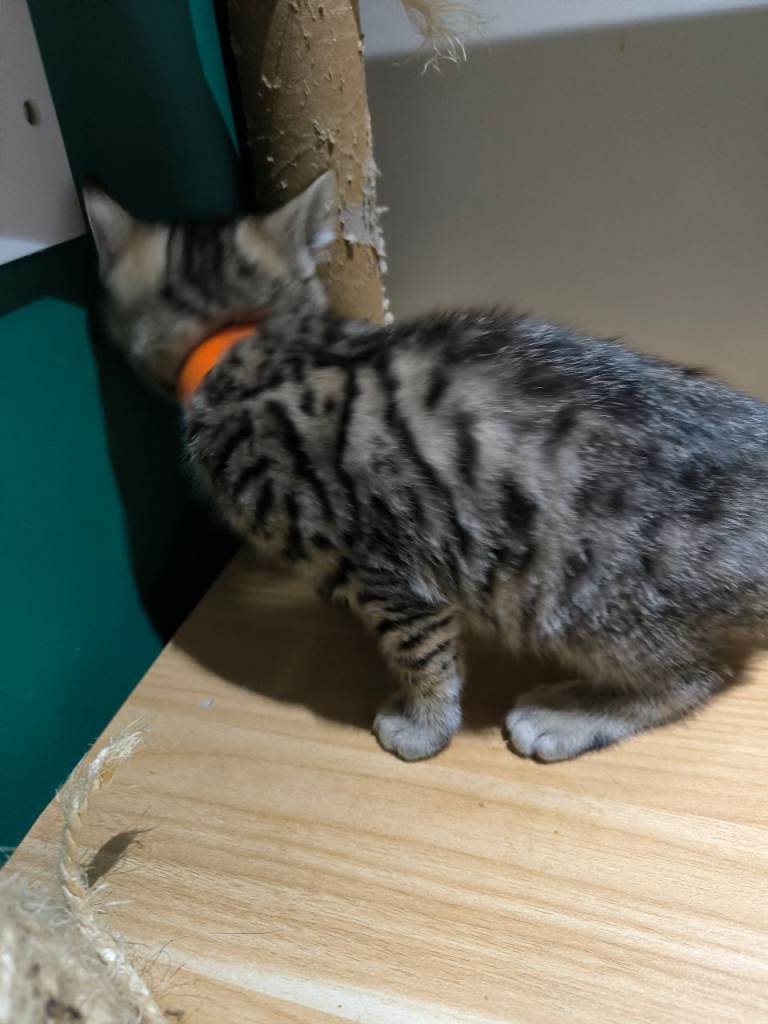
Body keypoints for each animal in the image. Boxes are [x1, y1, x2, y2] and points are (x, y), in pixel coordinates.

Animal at [82, 172, 768, 763]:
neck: (259, 348)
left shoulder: (387, 565)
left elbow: (423, 652)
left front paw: (424, 724)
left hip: (583, 600)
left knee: (695, 675)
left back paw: (570, 715)